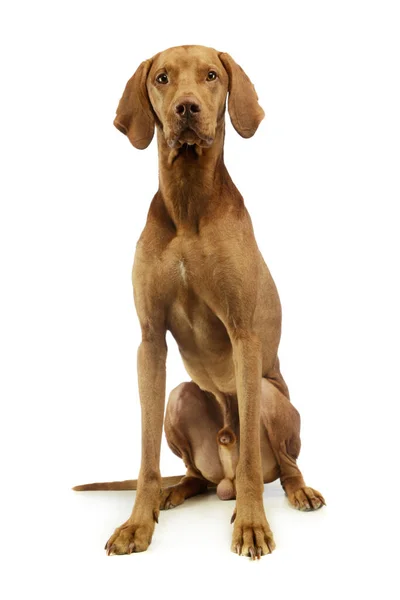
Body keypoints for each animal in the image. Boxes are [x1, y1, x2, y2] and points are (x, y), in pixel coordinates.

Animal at [75, 44, 324, 560]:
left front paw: (251, 525)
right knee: (195, 474)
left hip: (269, 397)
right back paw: (175, 492)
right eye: (163, 78)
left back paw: (297, 491)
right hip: (180, 396)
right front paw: (137, 522)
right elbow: (146, 455)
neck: (188, 201)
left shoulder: (244, 336)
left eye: (211, 76)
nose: (186, 108)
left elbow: (250, 462)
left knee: (278, 464)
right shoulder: (150, 341)